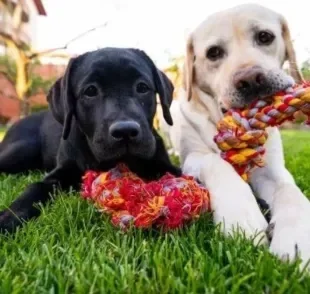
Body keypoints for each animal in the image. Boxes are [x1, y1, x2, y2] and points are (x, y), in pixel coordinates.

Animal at [0, 47, 180, 232]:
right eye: (90, 91)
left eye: (142, 87)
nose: (125, 131)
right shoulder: (60, 172)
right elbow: (36, 188)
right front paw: (9, 217)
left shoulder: (165, 165)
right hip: (22, 150)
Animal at [173, 3, 310, 268]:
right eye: (214, 53)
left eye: (265, 37)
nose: (251, 79)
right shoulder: (192, 157)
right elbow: (215, 162)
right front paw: (240, 217)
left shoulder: (272, 170)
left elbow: (290, 190)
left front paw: (298, 234)